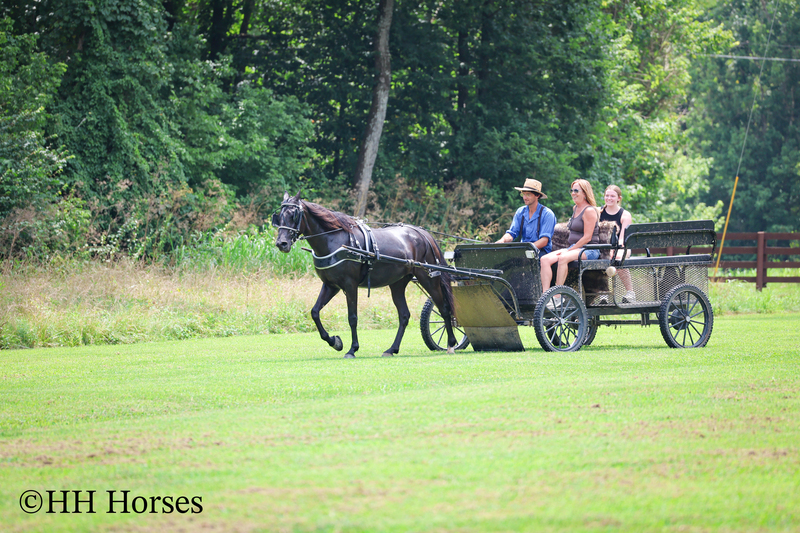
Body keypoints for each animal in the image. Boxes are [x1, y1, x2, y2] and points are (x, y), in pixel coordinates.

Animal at [273, 191, 458, 358]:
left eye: (293, 214)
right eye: (279, 216)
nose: (281, 243)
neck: (335, 241)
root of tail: (423, 234)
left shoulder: (350, 285)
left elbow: (352, 318)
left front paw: (352, 349)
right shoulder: (331, 285)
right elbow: (315, 312)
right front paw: (335, 342)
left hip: (429, 279)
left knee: (444, 309)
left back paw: (451, 344)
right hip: (397, 284)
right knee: (404, 315)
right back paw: (392, 349)